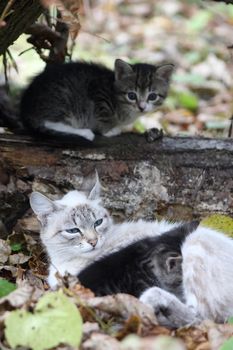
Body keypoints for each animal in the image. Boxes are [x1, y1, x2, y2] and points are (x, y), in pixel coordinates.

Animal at [19, 58, 173, 141]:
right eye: (131, 96)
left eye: (152, 96)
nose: (141, 107)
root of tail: (26, 110)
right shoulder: (99, 93)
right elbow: (104, 116)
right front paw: (109, 130)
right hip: (62, 101)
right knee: (50, 122)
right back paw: (85, 132)